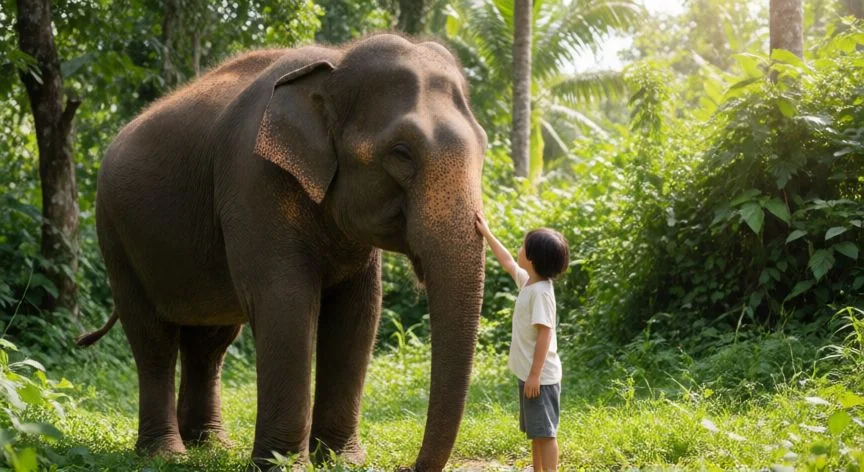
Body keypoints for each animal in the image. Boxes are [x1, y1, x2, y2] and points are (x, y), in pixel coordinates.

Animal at [77, 34, 487, 471]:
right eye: (401, 152)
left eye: (483, 146)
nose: (409, 465)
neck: (336, 62)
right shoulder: (252, 179)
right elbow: (285, 303)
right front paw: (284, 465)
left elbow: (358, 311)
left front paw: (342, 461)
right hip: (114, 234)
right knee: (153, 339)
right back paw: (165, 453)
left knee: (209, 342)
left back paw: (211, 446)